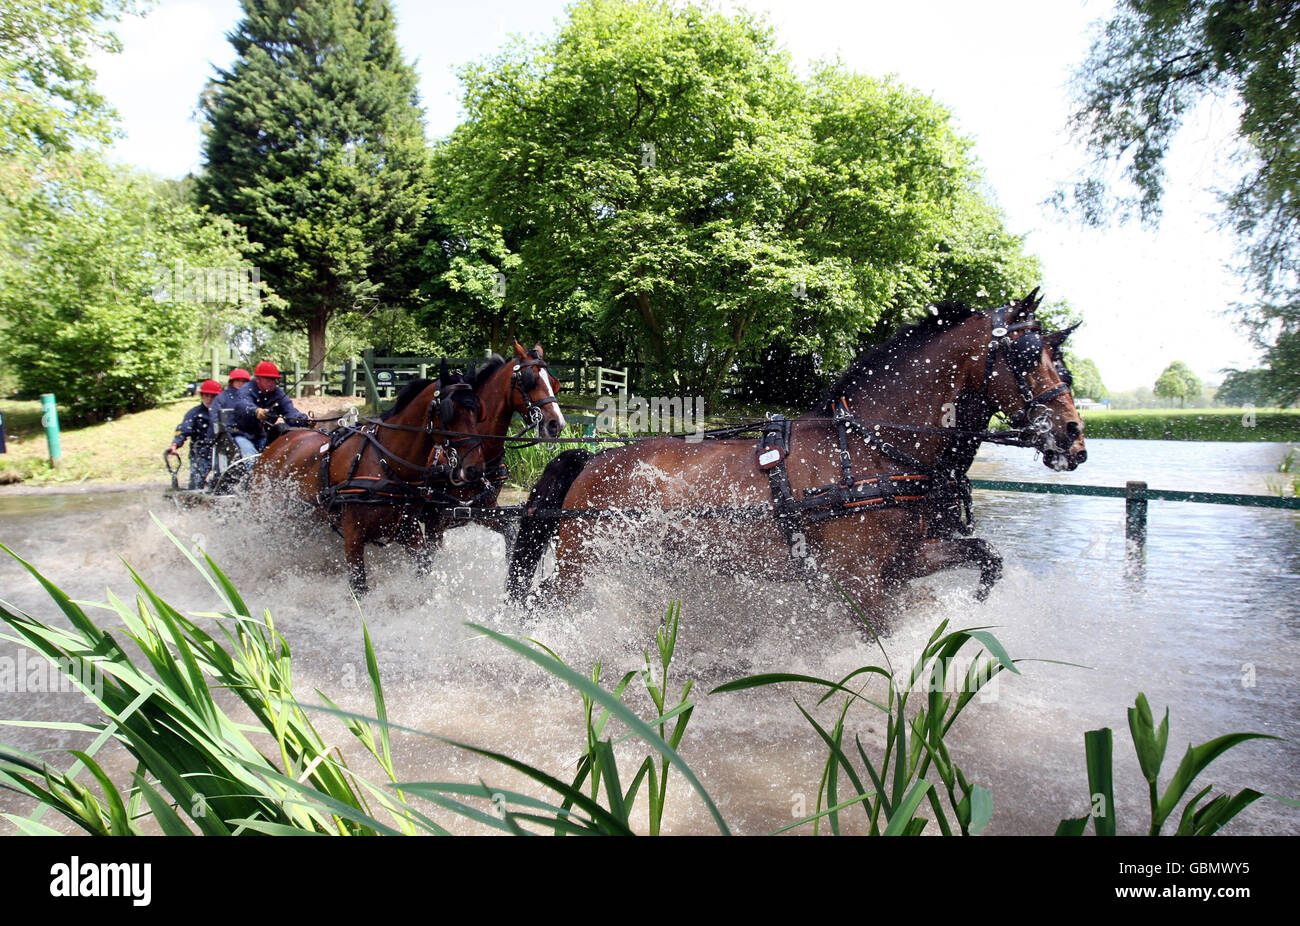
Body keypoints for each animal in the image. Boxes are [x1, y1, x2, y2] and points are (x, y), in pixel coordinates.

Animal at [252, 363, 487, 594]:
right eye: (449, 412)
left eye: (477, 412)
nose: (475, 469)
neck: (385, 463)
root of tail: (280, 437)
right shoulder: (353, 536)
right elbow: (359, 587)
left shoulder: (408, 530)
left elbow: (424, 567)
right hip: (267, 515)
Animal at [506, 292, 1087, 630]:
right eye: (1026, 355)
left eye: (1060, 360)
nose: (1074, 438)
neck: (871, 449)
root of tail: (592, 460)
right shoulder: (861, 582)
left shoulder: (905, 564)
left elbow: (987, 559)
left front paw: (973, 608)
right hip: (583, 565)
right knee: (542, 603)